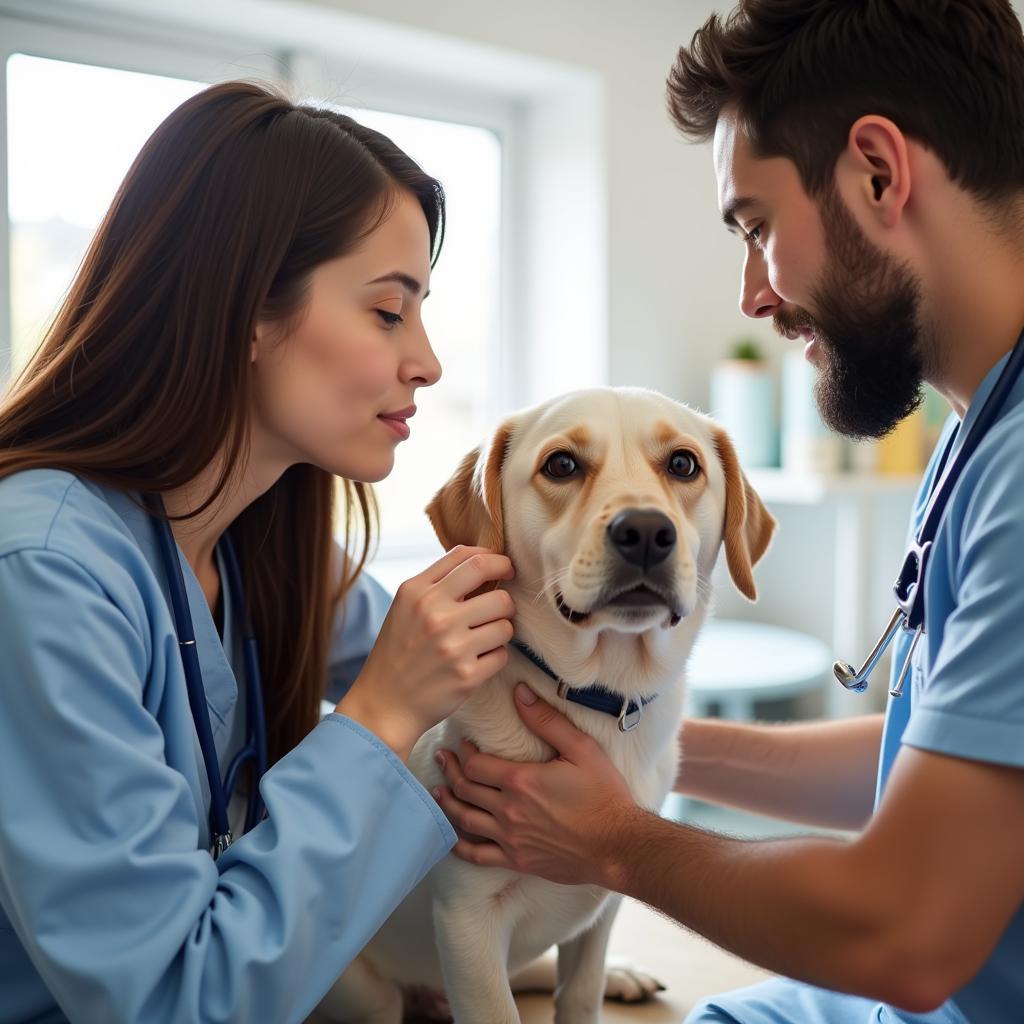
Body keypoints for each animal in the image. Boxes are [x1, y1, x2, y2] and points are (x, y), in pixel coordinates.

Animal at [315, 385, 770, 1024]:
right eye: (561, 465)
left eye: (683, 464)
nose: (646, 531)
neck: (599, 698)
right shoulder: (467, 919)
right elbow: (496, 1005)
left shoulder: (605, 896)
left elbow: (578, 991)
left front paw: (600, 980)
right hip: (368, 993)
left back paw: (622, 975)